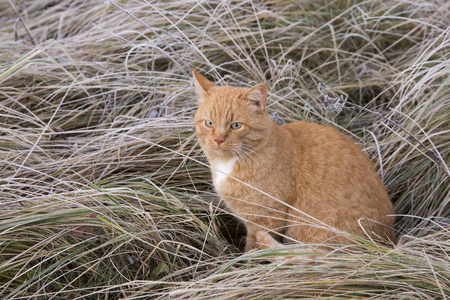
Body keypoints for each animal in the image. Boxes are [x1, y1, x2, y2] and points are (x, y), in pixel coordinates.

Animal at [192, 71, 394, 255]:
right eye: (209, 123)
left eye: (236, 125)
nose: (218, 139)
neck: (229, 162)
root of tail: (387, 242)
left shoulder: (266, 219)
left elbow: (253, 250)